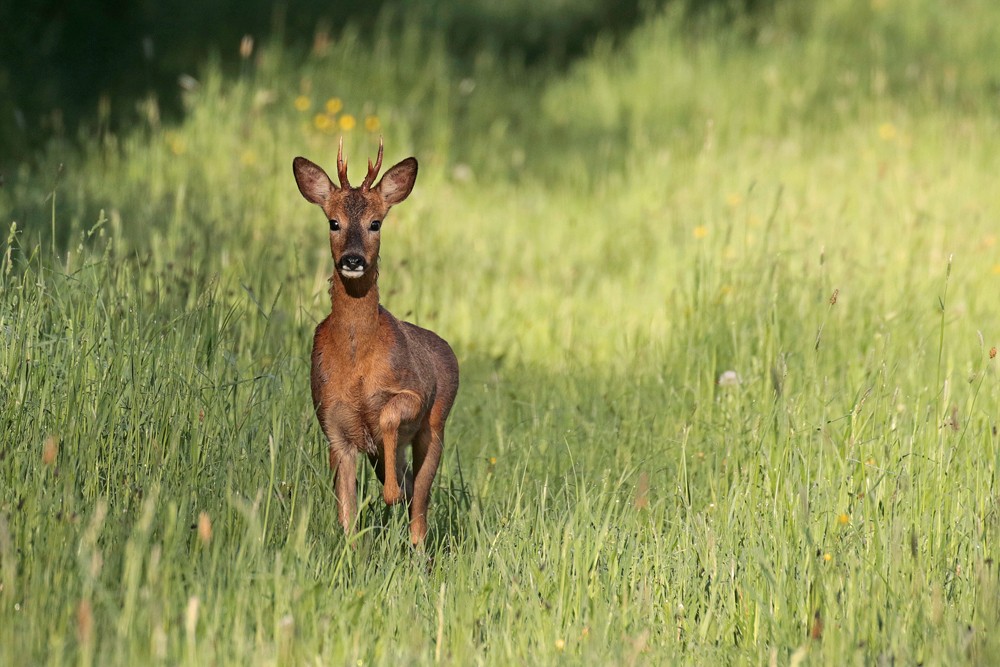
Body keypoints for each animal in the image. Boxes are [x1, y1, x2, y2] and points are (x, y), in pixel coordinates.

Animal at [292, 138, 458, 544]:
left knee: (421, 506)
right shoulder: (333, 426)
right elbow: (346, 511)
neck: (356, 361)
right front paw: (350, 549)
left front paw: (390, 494)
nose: (353, 260)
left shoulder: (414, 394)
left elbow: (387, 414)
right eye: (333, 222)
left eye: (375, 223)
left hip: (437, 426)